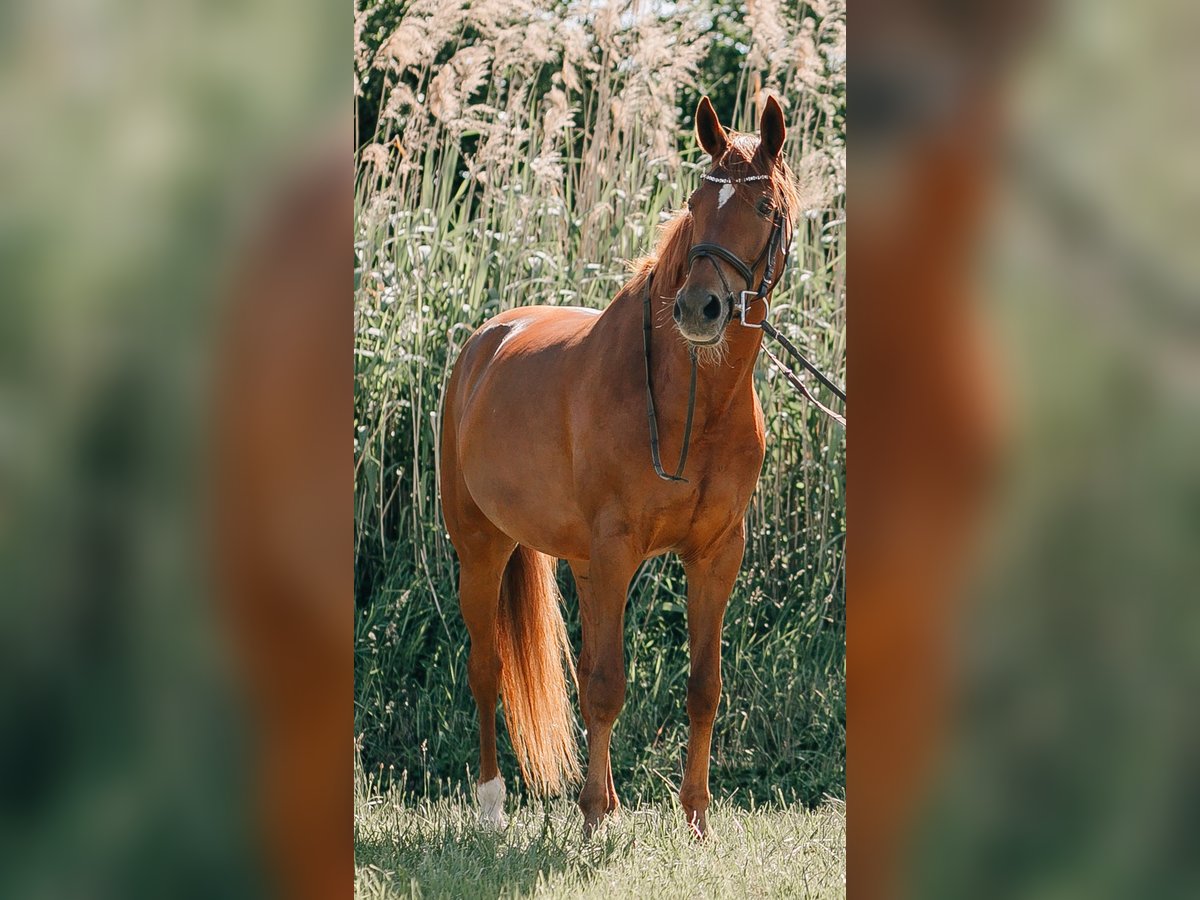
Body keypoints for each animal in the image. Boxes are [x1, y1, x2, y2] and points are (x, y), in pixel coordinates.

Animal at [439, 98, 796, 840]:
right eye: (695, 202)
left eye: (762, 205)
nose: (699, 308)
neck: (692, 405)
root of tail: (485, 342)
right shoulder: (615, 550)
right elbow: (605, 687)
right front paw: (596, 818)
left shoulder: (716, 554)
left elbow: (703, 687)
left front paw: (695, 818)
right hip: (482, 548)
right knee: (487, 668)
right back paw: (491, 805)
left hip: (573, 561)